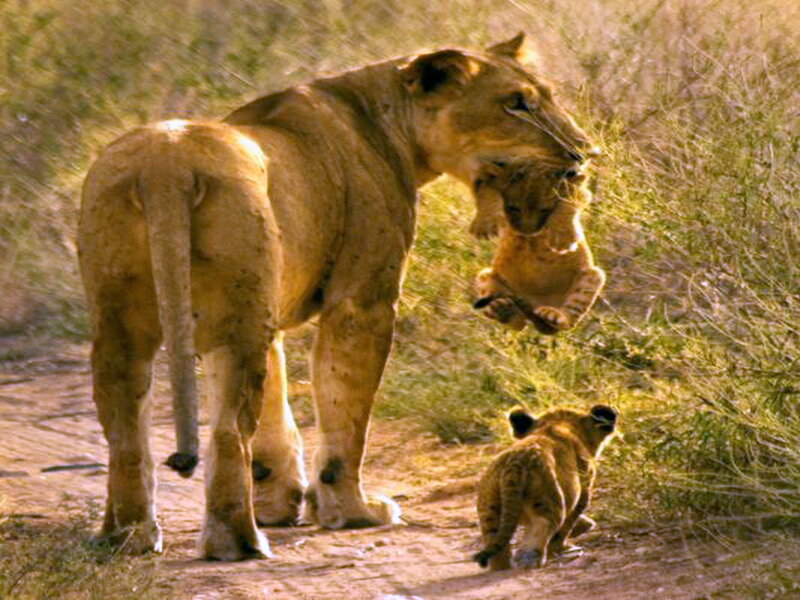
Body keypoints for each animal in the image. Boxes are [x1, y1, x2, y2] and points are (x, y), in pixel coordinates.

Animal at [472, 159, 605, 334]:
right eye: (514, 208)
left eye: (544, 210)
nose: (528, 231)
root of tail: (534, 307)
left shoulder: (579, 189)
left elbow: (569, 202)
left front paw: (562, 239)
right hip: (485, 276)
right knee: (517, 322)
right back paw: (502, 309)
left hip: (593, 276)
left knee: (566, 321)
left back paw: (553, 315)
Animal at [474, 404, 618, 571]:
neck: (558, 424)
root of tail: (516, 463)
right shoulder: (583, 489)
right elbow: (567, 525)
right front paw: (564, 546)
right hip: (549, 501)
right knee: (541, 527)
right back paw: (530, 560)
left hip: (489, 509)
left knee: (494, 538)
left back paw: (500, 566)